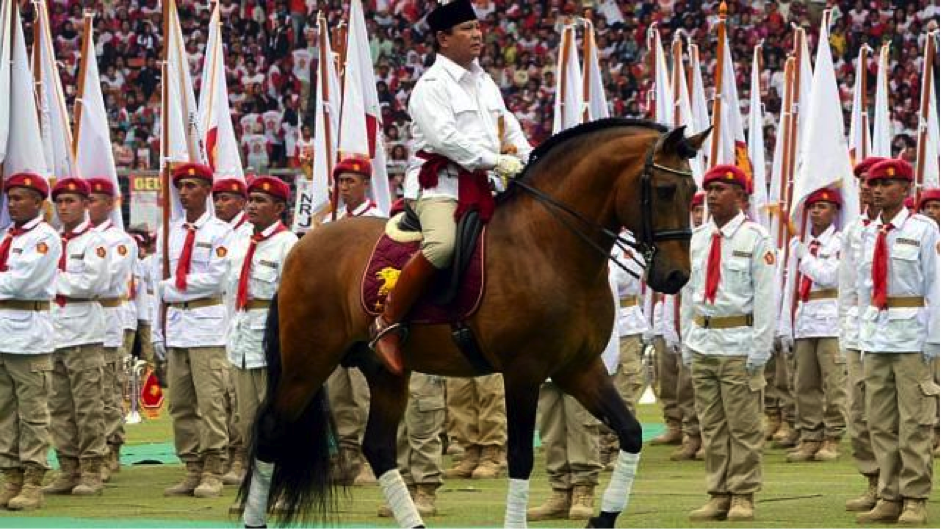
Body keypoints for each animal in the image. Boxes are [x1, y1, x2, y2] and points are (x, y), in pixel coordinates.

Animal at [239, 117, 708, 524]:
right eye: (666, 189)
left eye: (693, 190)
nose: (675, 276)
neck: (550, 245)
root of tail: (302, 243)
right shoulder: (524, 372)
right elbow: (520, 457)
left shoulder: (578, 368)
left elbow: (630, 432)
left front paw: (601, 519)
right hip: (308, 362)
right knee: (271, 430)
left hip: (385, 371)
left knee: (378, 448)